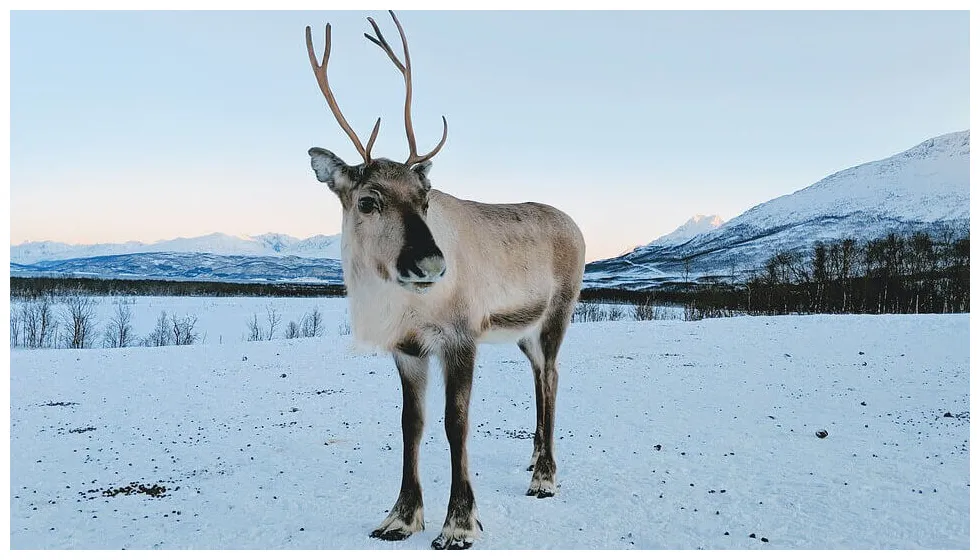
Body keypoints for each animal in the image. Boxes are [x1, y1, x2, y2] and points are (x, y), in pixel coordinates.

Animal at [304, 11, 585, 550]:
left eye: (426, 196)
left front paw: (458, 523)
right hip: (523, 332)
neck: (403, 307)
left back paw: (546, 476)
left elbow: (457, 424)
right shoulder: (408, 349)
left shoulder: (460, 339)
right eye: (368, 199)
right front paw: (400, 517)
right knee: (539, 374)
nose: (432, 265)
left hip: (559, 313)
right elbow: (411, 425)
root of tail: (575, 224)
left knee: (554, 376)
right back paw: (533, 459)